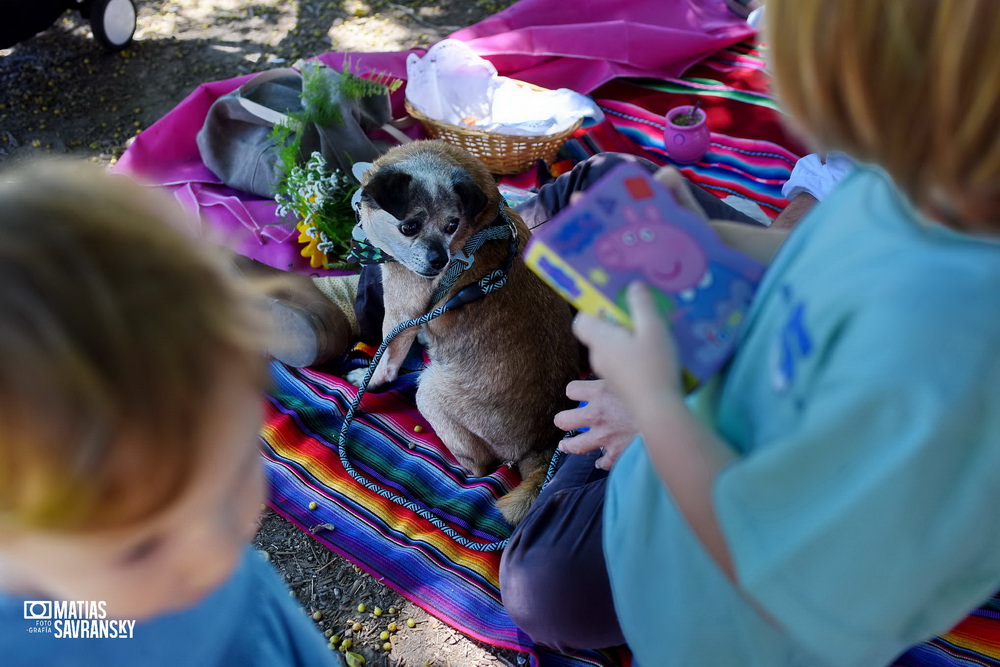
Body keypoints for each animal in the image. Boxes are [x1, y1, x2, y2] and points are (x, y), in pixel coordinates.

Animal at [352, 141, 584, 528]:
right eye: (409, 227)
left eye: (452, 225)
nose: (439, 261)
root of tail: (542, 442)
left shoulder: (400, 313)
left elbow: (385, 360)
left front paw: (368, 380)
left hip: (429, 393)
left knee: (481, 467)